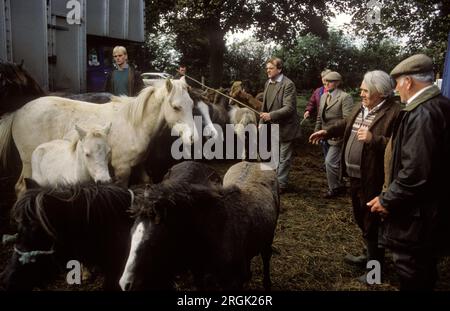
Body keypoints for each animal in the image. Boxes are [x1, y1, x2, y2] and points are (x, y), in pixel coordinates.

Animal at [0, 77, 197, 196]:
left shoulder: (139, 165)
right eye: (176, 107)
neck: (134, 124)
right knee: (21, 187)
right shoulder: (122, 169)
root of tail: (18, 112)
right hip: (28, 164)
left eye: (191, 104)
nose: (192, 138)